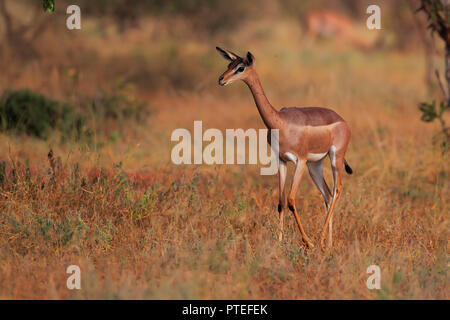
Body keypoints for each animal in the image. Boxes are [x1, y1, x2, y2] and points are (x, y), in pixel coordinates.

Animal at [215, 47, 352, 250]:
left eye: (240, 68)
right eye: (228, 64)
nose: (221, 79)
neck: (280, 122)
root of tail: (342, 120)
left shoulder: (300, 161)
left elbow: (291, 200)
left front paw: (308, 242)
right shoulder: (281, 160)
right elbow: (280, 202)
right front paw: (279, 243)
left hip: (335, 159)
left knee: (337, 190)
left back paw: (319, 241)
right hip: (315, 165)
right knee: (327, 195)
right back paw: (327, 244)